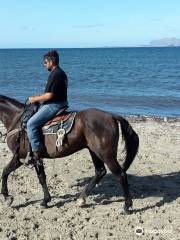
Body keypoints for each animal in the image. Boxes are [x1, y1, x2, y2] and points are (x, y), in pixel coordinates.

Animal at [0, 94, 139, 213]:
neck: (17, 120)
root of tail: (112, 116)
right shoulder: (24, 158)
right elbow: (6, 172)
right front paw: (8, 198)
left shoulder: (24, 156)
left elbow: (38, 178)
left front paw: (44, 200)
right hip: (94, 151)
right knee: (100, 171)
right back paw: (81, 199)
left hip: (106, 155)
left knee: (121, 174)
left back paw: (127, 206)